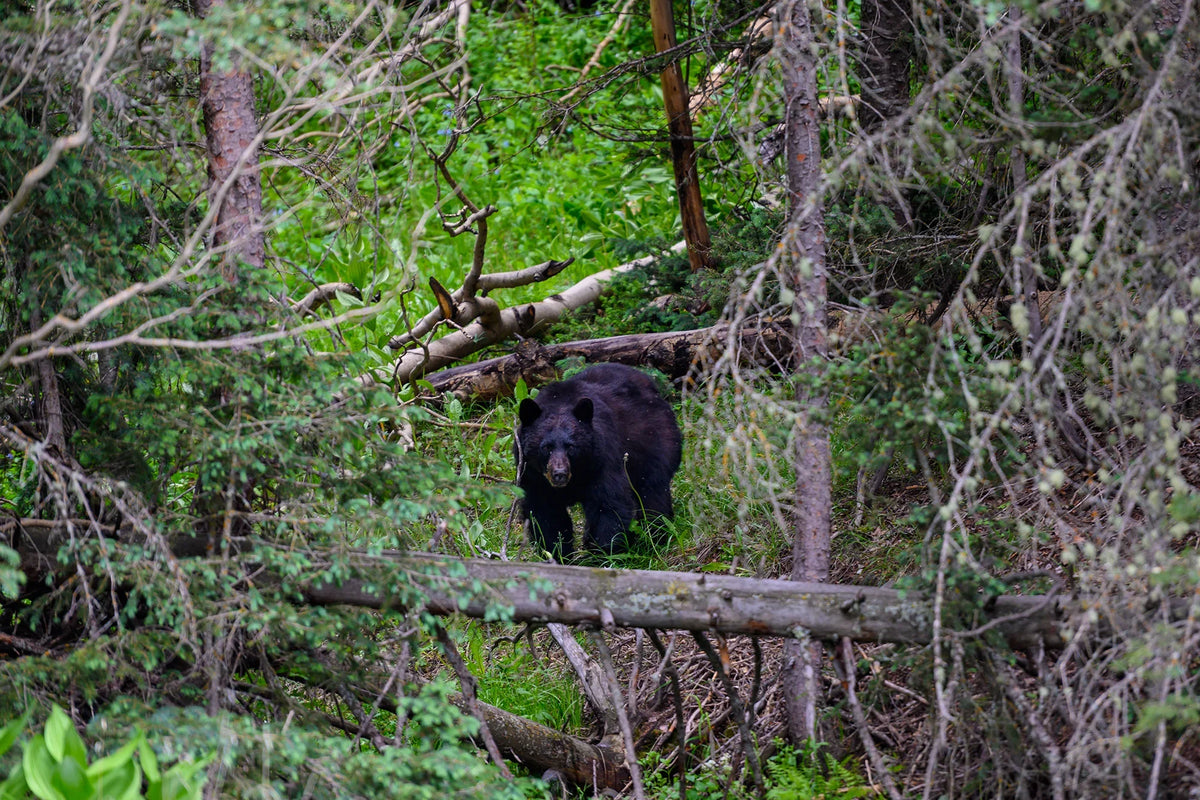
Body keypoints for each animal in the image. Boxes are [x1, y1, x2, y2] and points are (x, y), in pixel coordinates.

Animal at [514, 363, 682, 562]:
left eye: (571, 446)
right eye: (546, 447)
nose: (559, 474)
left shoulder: (602, 461)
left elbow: (609, 505)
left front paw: (601, 555)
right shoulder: (532, 476)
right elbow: (545, 513)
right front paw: (558, 554)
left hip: (655, 443)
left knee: (652, 493)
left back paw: (655, 536)